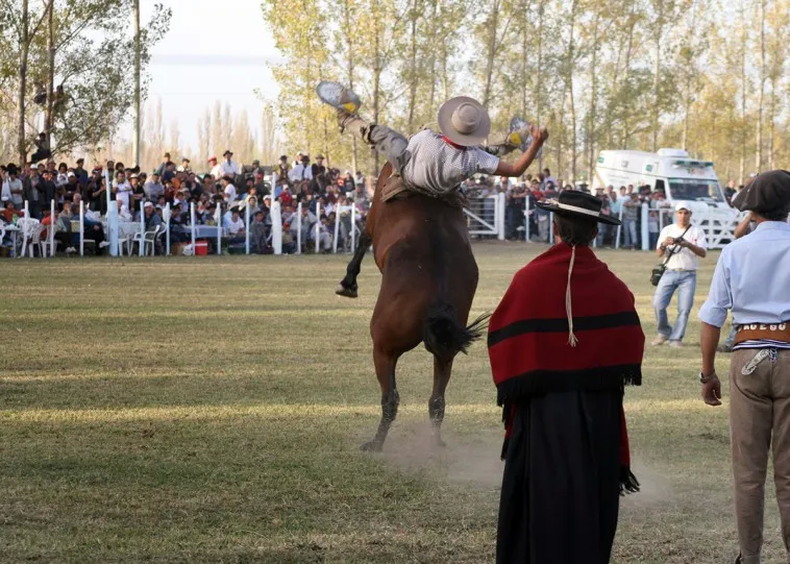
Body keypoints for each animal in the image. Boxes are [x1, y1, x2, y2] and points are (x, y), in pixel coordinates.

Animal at [336, 163, 486, 450]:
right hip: (446, 354)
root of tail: (437, 303)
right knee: (437, 401)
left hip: (384, 347)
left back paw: (376, 444)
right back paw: (436, 443)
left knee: (391, 399)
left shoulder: (373, 215)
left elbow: (362, 239)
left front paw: (348, 283)